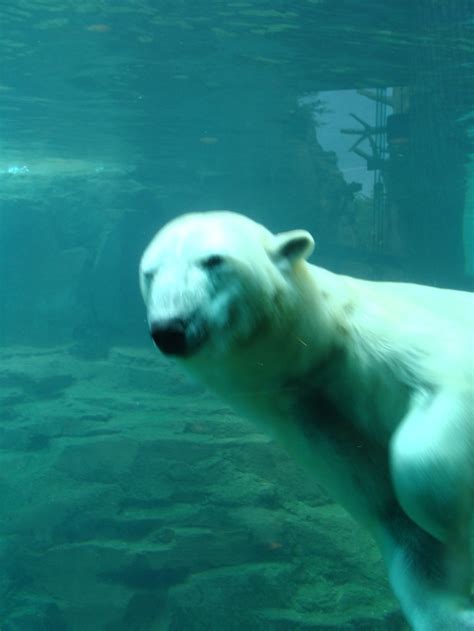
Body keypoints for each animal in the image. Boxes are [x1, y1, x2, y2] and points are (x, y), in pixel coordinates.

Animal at [141, 212, 474, 631]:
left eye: (213, 260)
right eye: (149, 273)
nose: (171, 327)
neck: (324, 343)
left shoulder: (394, 339)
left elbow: (432, 433)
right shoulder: (319, 424)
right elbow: (403, 527)